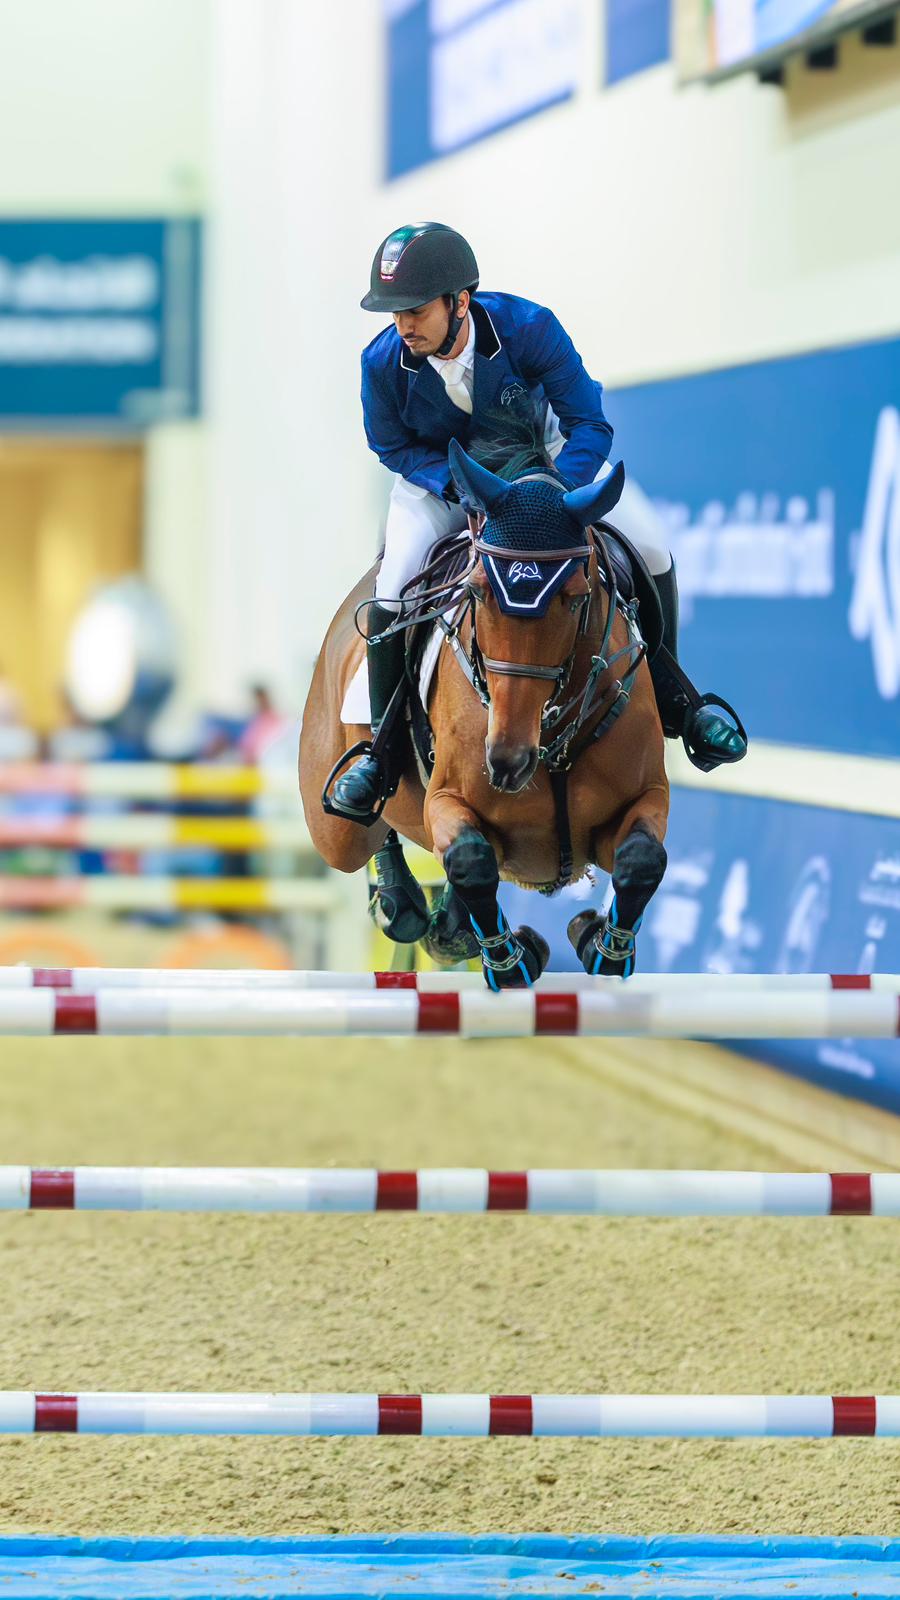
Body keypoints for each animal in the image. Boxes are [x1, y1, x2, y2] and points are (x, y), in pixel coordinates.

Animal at [299, 413, 669, 985]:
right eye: (476, 591)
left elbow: (641, 859)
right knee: (369, 830)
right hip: (333, 830)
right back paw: (395, 886)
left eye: (575, 597)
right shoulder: (448, 802)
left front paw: (604, 949)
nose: (506, 762)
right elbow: (471, 860)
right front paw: (512, 962)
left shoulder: (646, 796)